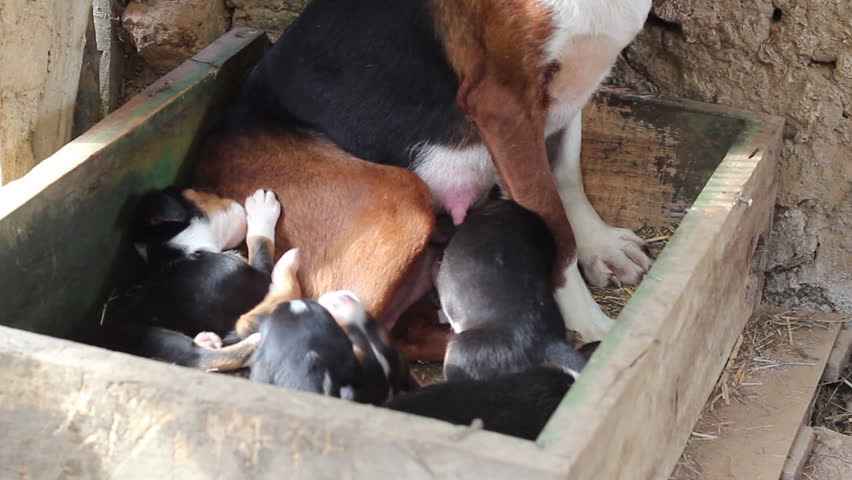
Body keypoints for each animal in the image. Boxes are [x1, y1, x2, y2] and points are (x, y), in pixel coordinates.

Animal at [196, 0, 656, 344]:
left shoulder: (568, 91)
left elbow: (567, 178)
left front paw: (601, 247)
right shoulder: (505, 103)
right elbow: (553, 223)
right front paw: (590, 324)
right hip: (399, 197)